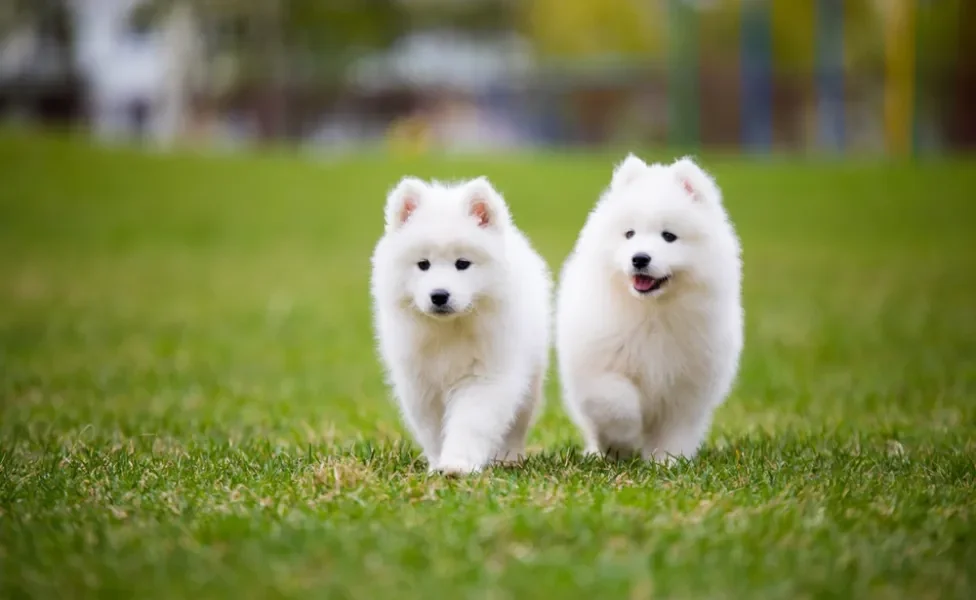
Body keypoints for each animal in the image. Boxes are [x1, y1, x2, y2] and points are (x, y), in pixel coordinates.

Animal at [368, 176, 548, 476]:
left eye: (462, 263)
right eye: (423, 264)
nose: (439, 295)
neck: (450, 329)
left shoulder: (486, 377)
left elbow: (470, 422)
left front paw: (457, 465)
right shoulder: (420, 384)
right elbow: (432, 429)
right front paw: (438, 464)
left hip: (530, 378)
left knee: (517, 423)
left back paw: (508, 458)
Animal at [556, 155, 740, 464]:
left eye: (669, 236)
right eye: (629, 234)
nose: (640, 258)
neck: (652, 313)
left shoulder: (686, 387)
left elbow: (675, 431)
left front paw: (667, 462)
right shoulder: (598, 367)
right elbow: (616, 401)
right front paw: (626, 437)